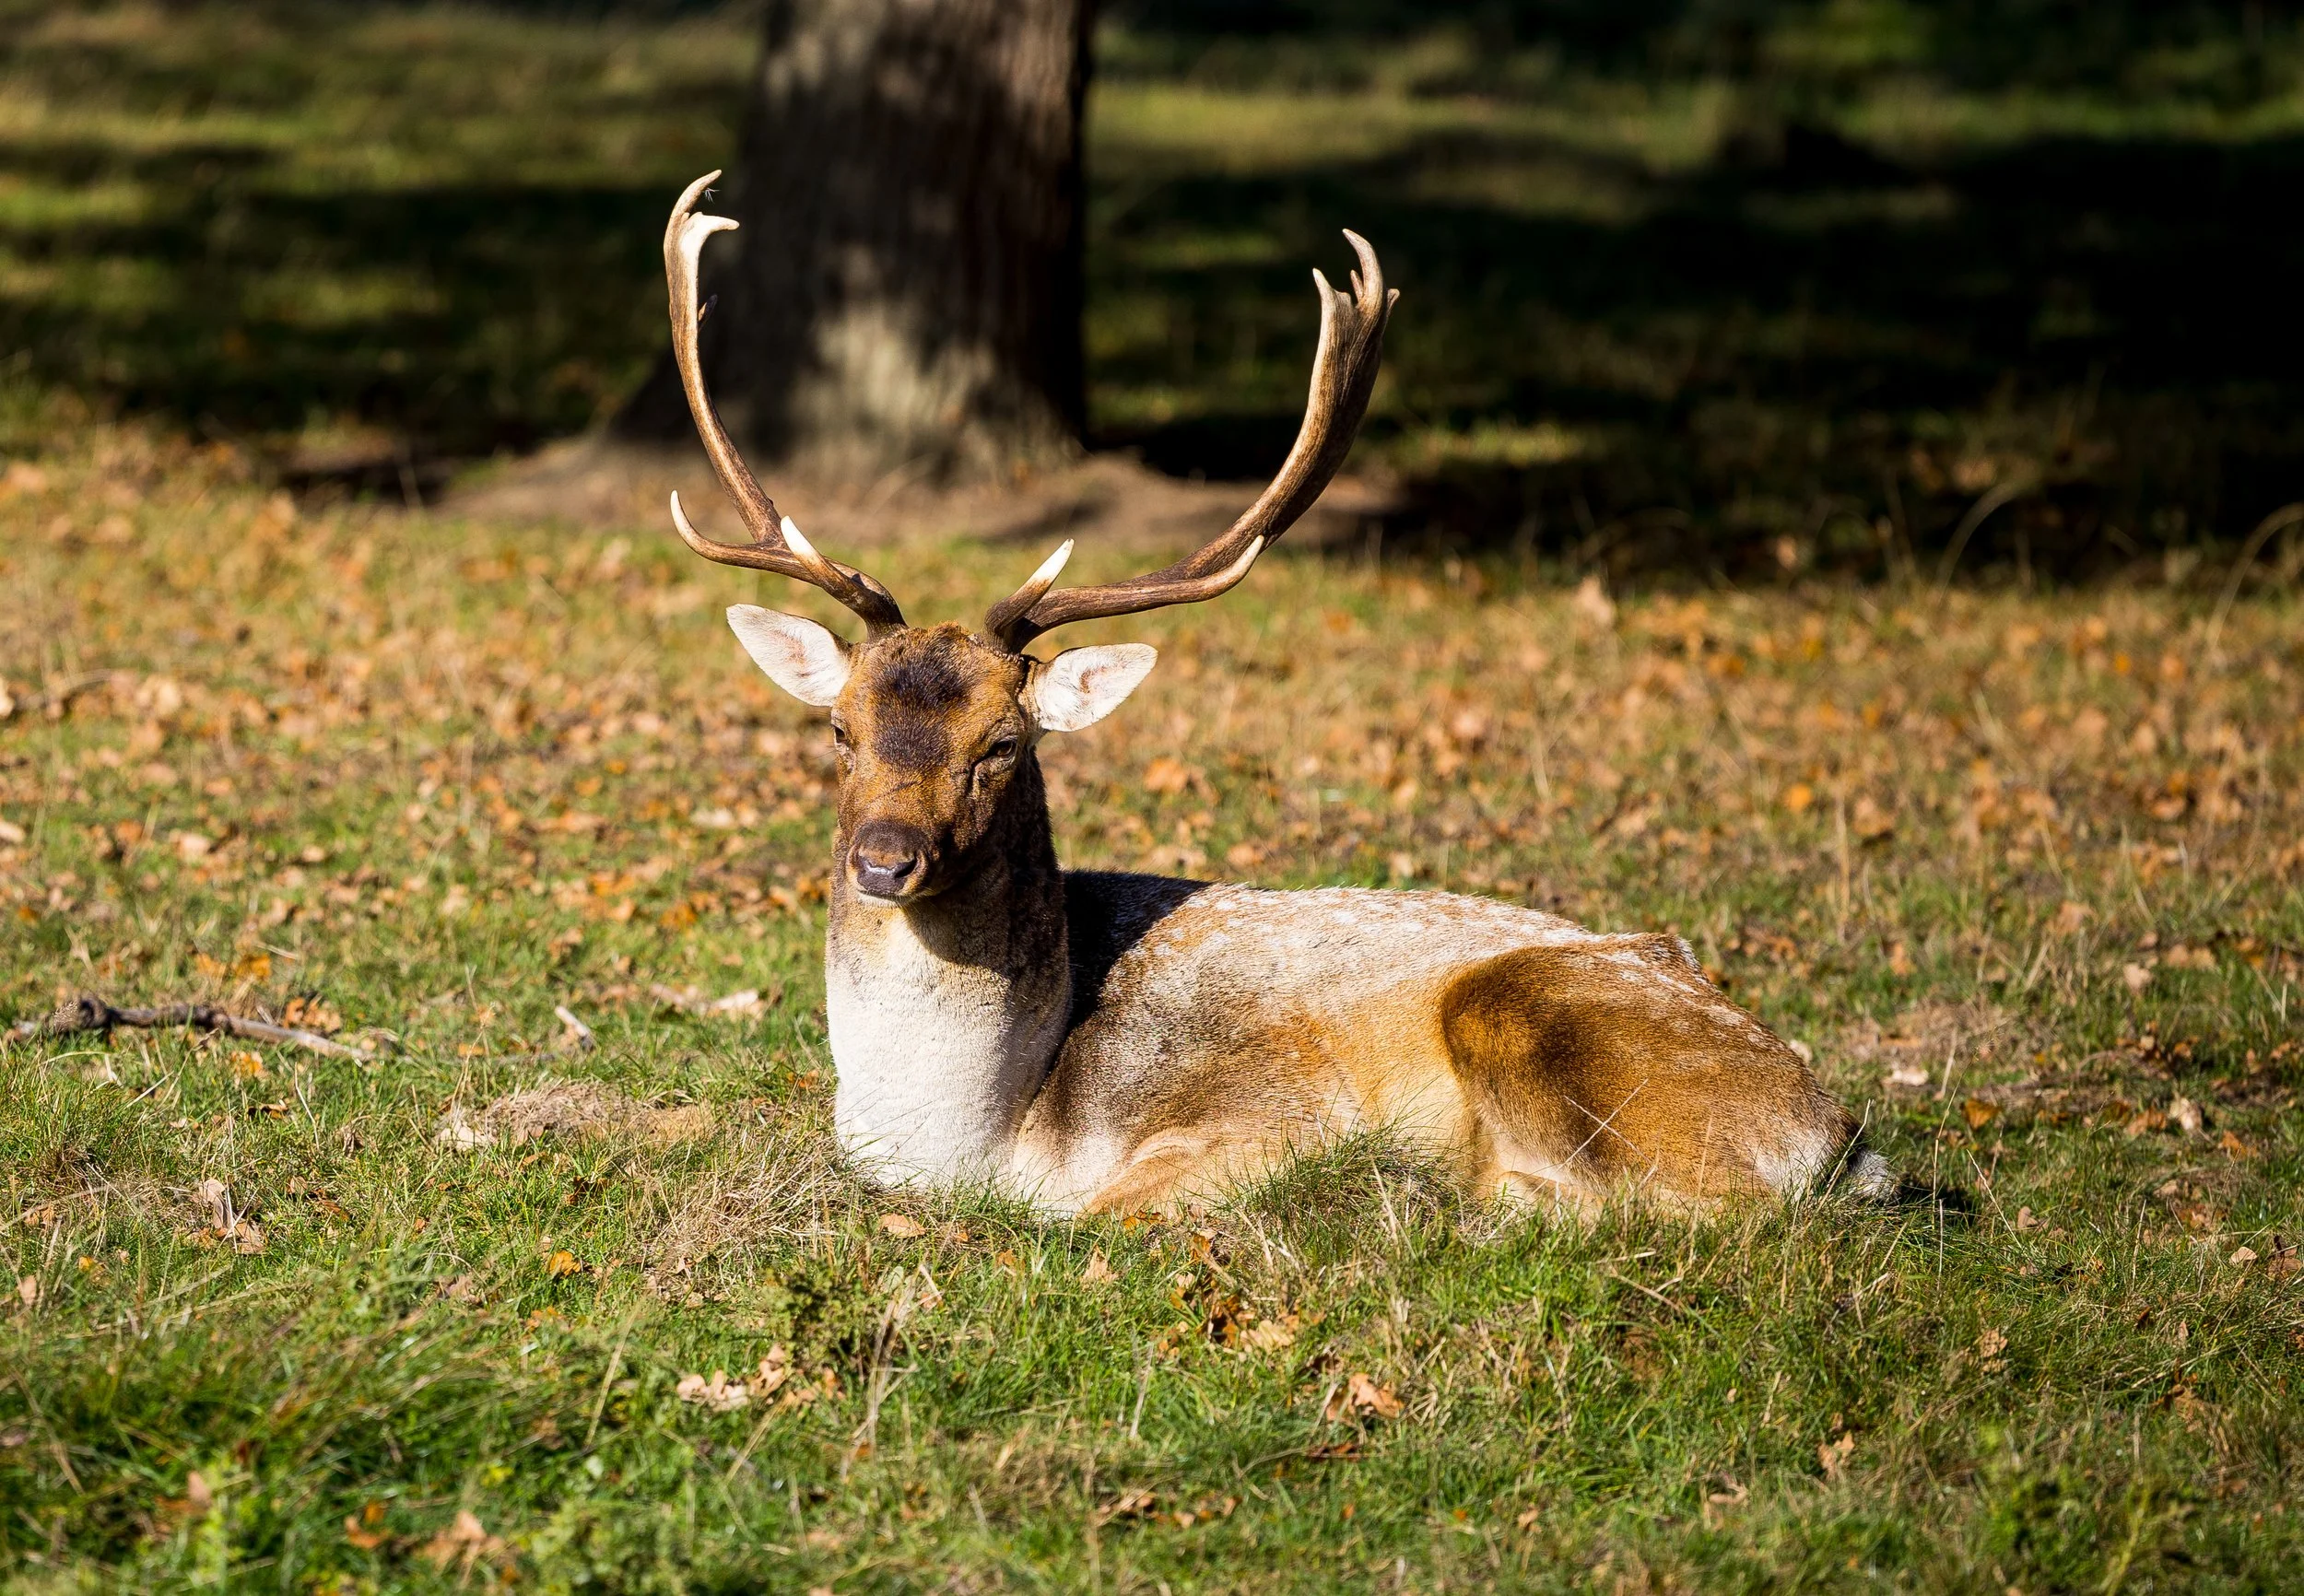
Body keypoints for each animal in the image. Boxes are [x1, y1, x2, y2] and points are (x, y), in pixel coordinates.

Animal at [652, 172, 1894, 1216]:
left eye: (1001, 743)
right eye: (838, 728)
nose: (883, 859)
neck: (982, 1140)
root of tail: (1839, 1131)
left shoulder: (1271, 1111)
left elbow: (1106, 1216)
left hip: (1549, 1018)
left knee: (1711, 1214)